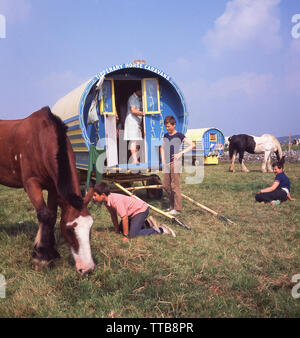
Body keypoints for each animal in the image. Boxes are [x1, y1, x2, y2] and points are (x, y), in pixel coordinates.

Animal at [0, 107, 95, 274]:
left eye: (90, 227)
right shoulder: (31, 183)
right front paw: (41, 257)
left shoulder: (53, 187)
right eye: (69, 230)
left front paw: (51, 252)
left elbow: (52, 215)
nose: (87, 268)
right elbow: (44, 215)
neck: (41, 140)